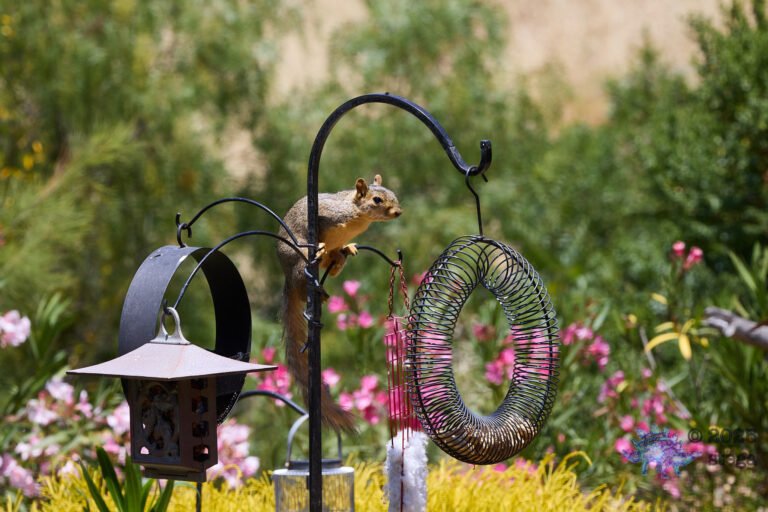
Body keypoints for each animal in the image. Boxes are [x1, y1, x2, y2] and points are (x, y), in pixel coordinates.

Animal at [277, 174, 402, 432]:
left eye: (393, 194)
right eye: (376, 200)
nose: (398, 212)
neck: (358, 217)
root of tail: (287, 276)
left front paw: (350, 245)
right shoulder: (328, 213)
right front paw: (320, 244)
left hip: (328, 261)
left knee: (331, 265)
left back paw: (342, 254)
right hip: (298, 263)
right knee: (303, 284)